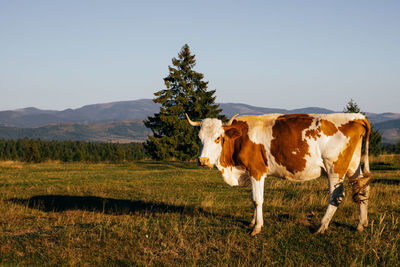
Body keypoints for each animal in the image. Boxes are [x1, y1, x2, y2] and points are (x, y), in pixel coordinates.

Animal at [187, 113, 372, 237]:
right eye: (199, 138)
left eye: (218, 138)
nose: (203, 160)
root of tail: (356, 116)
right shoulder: (252, 172)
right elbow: (253, 198)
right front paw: (252, 222)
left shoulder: (257, 170)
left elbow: (257, 199)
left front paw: (257, 227)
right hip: (353, 165)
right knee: (362, 189)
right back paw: (361, 224)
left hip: (335, 168)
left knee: (336, 196)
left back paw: (321, 226)